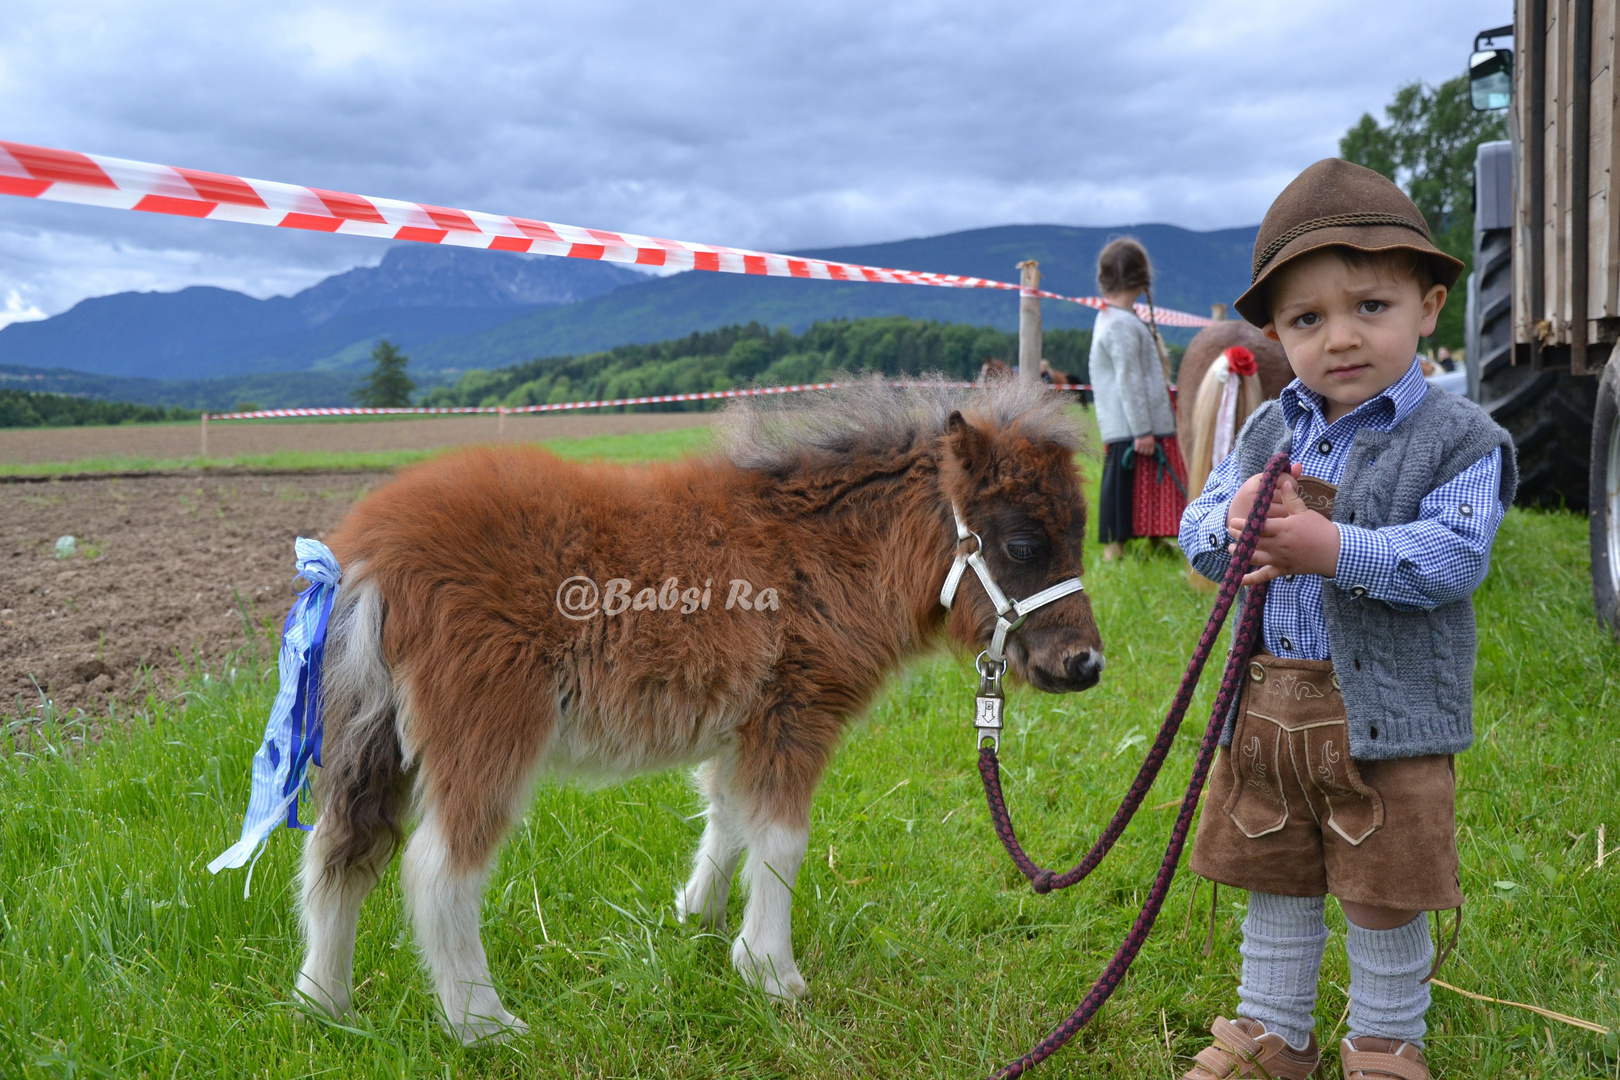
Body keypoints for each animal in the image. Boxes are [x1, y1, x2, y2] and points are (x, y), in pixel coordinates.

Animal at [294, 382, 1101, 1049]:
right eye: (1023, 543)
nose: (1085, 664)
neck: (821, 551)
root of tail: (367, 557)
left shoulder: (745, 723)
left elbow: (730, 814)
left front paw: (699, 922)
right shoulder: (798, 712)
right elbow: (782, 837)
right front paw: (773, 972)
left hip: (371, 732)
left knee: (343, 847)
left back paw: (324, 1007)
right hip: (486, 730)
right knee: (437, 867)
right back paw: (483, 1025)